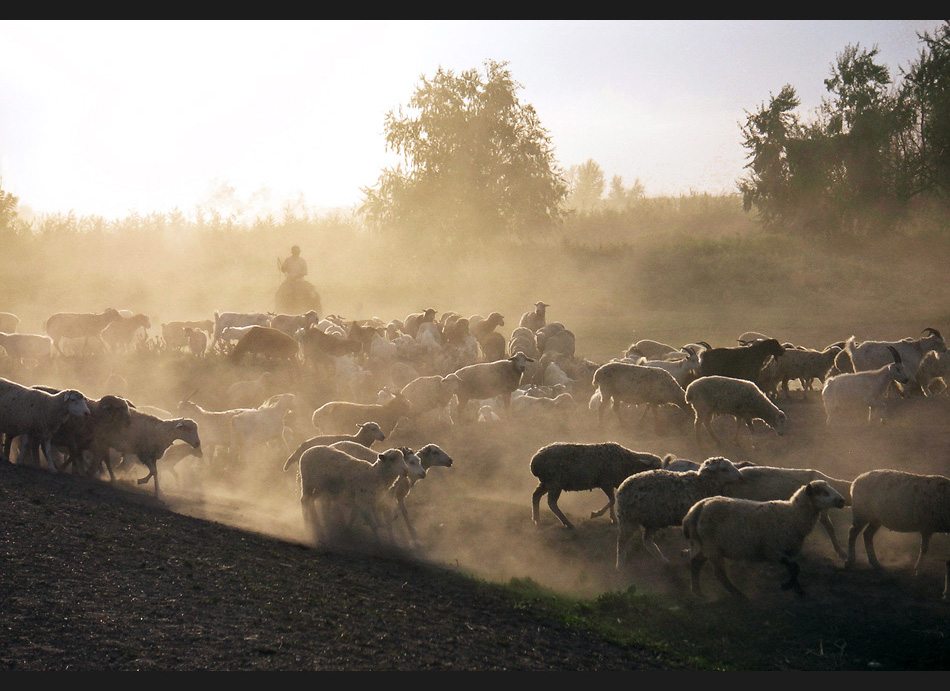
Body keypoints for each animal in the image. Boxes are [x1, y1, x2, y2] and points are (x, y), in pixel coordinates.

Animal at [528, 444, 660, 528]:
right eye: (654, 467)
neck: (626, 463)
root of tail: (534, 461)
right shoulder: (605, 482)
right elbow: (612, 500)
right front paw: (597, 514)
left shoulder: (608, 483)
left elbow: (612, 500)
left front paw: (613, 518)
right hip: (555, 483)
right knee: (551, 503)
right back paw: (567, 523)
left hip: (546, 483)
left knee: (536, 496)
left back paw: (537, 519)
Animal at [612, 454, 748, 568]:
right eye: (724, 469)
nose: (741, 477)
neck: (701, 484)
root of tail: (622, 487)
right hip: (628, 519)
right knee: (622, 542)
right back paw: (620, 566)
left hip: (653, 519)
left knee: (646, 541)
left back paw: (664, 561)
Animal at [684, 482, 848, 600]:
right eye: (824, 493)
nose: (842, 501)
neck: (793, 515)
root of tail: (697, 508)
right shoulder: (773, 551)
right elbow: (795, 567)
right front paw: (789, 586)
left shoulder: (790, 552)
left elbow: (794, 569)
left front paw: (797, 589)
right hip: (712, 547)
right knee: (719, 573)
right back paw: (739, 595)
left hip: (701, 544)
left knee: (695, 563)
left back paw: (697, 591)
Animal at [848, 470, 950, 600]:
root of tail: (856, 481)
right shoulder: (927, 526)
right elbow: (924, 549)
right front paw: (918, 569)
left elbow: (924, 549)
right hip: (861, 513)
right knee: (853, 533)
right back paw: (850, 561)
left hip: (876, 518)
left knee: (867, 534)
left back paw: (876, 563)